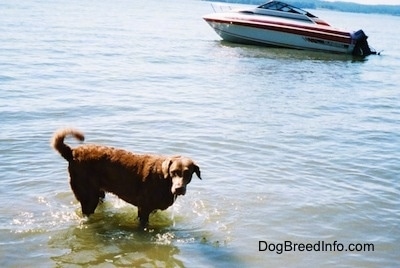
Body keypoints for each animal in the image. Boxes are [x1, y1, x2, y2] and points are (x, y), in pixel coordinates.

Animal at [51, 127, 202, 226]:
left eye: (187, 173)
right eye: (173, 172)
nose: (178, 189)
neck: (164, 180)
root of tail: (72, 152)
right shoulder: (144, 209)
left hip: (98, 193)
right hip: (88, 196)